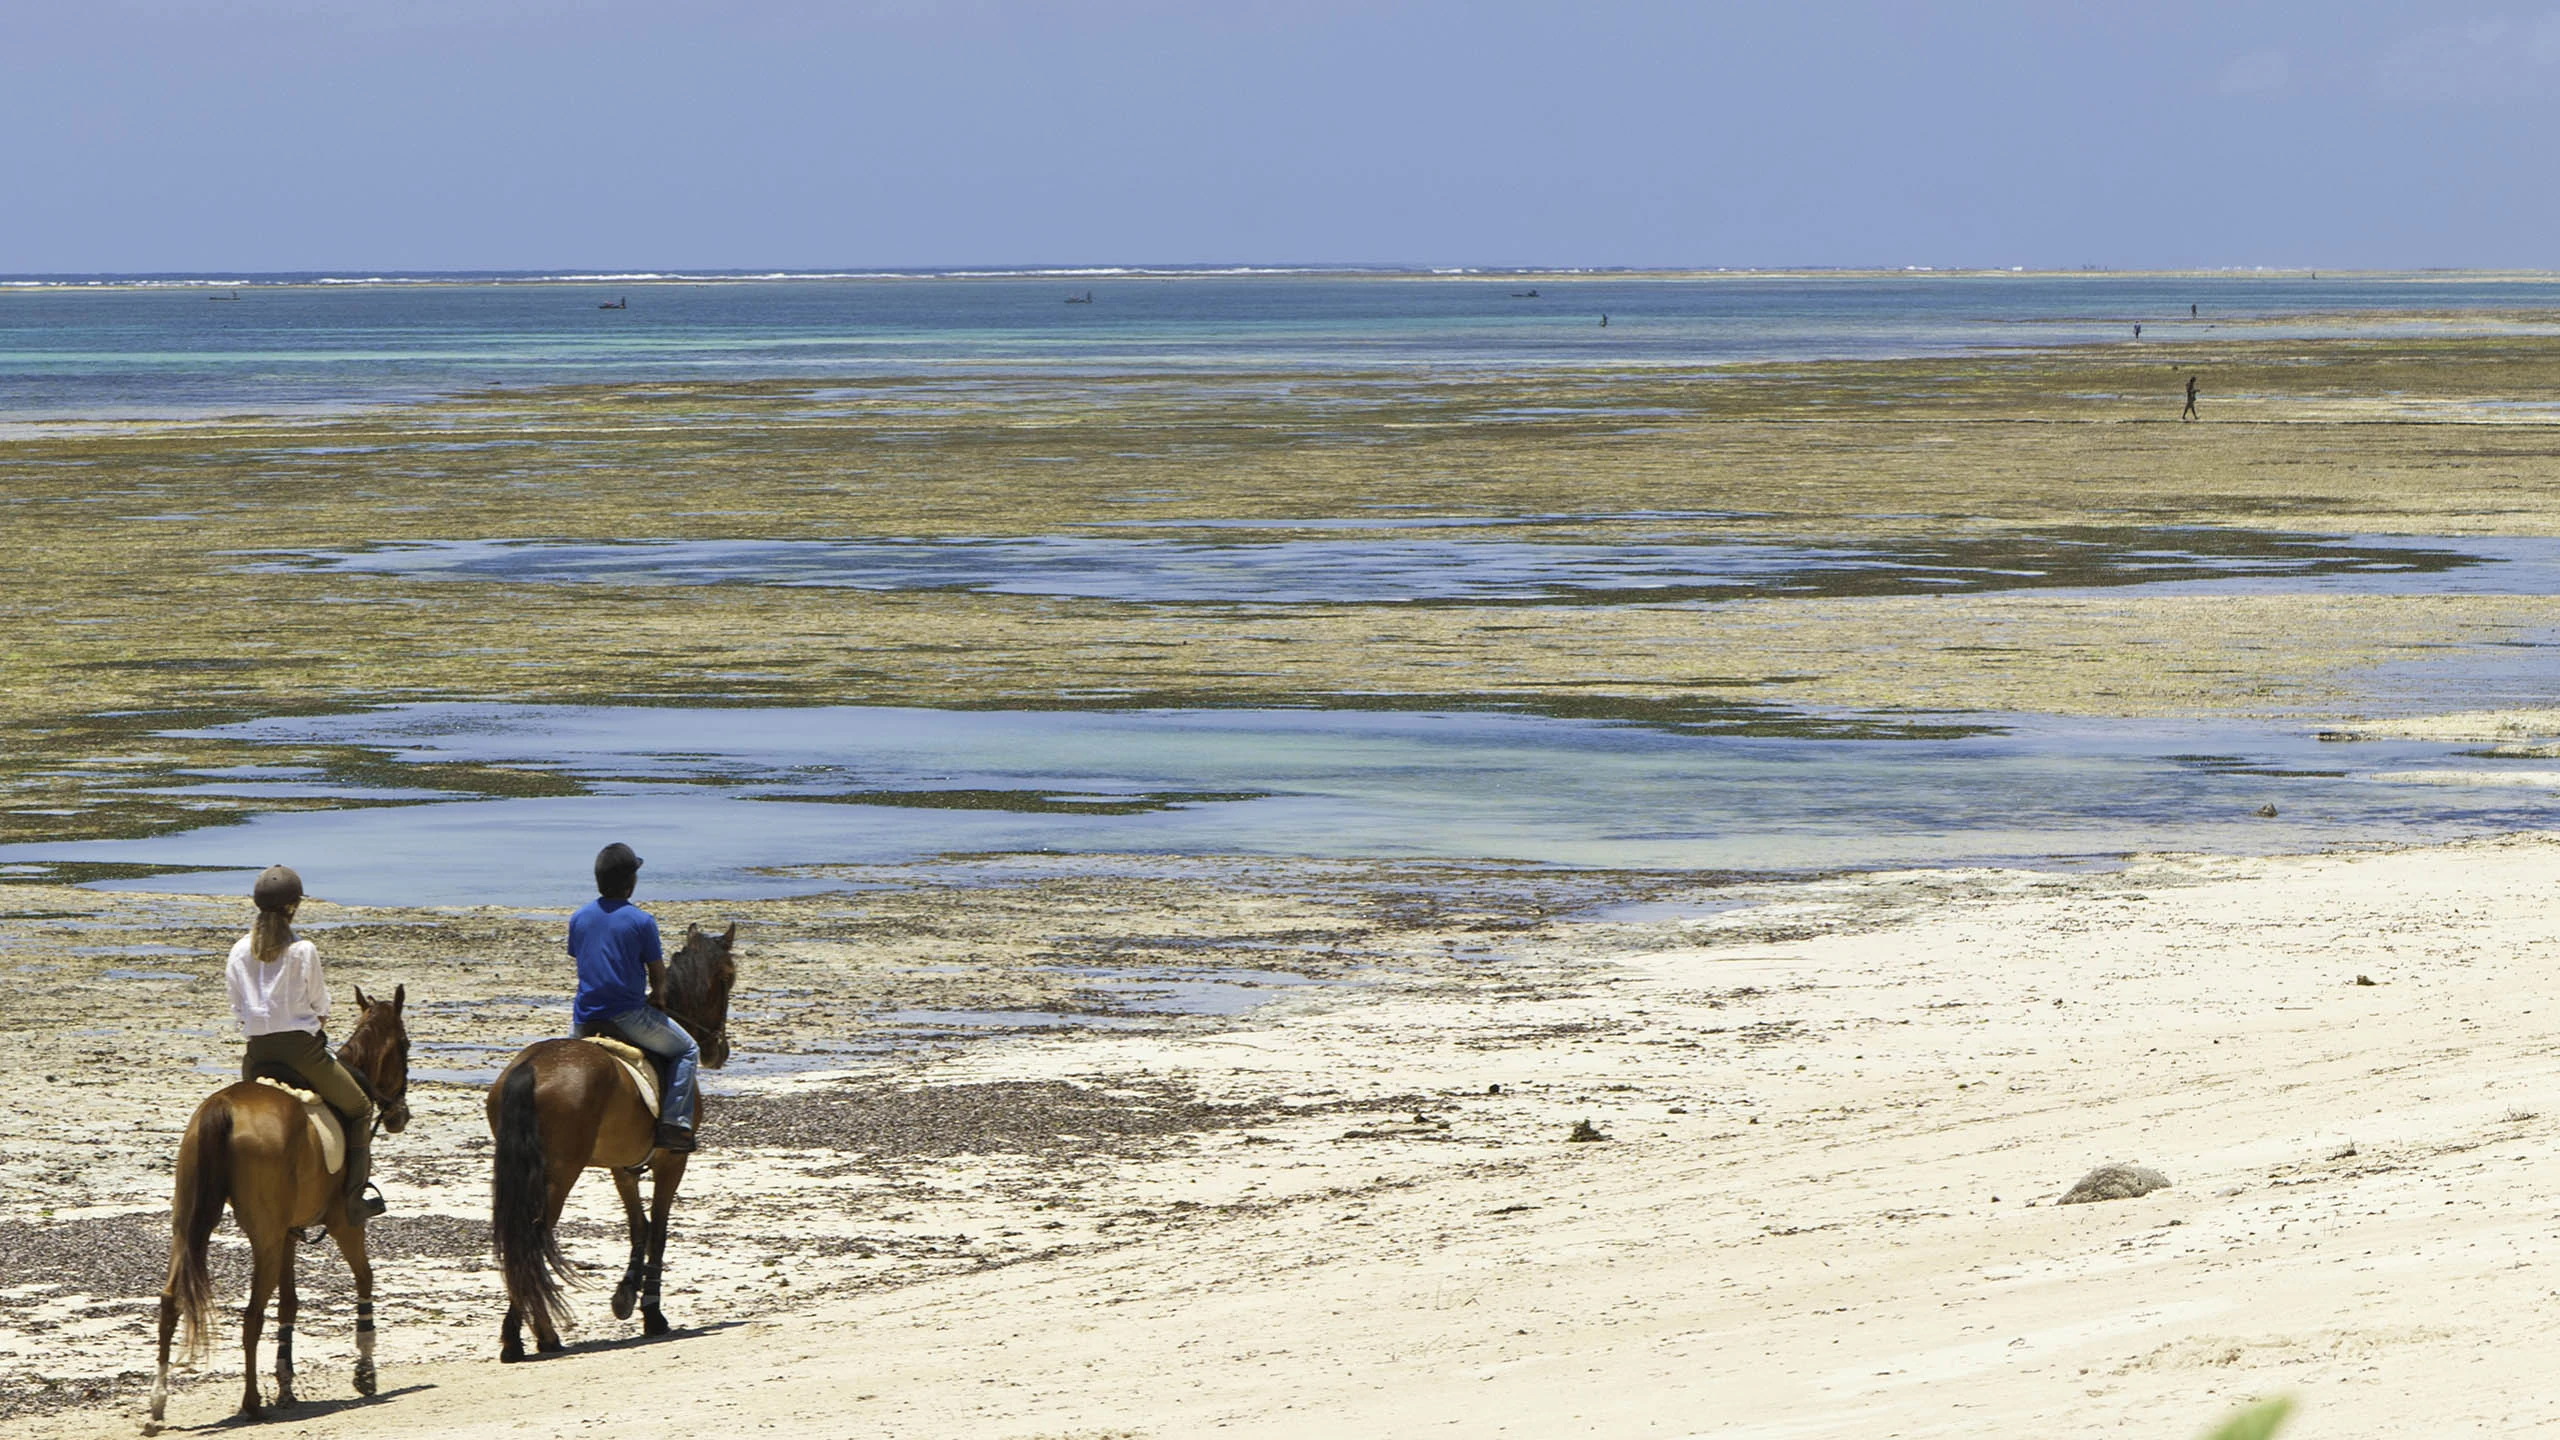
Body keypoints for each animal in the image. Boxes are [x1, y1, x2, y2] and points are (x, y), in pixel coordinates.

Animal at [150, 985, 414, 1423]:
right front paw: (365, 1371)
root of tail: (223, 1106)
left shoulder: (292, 1231)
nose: (399, 1117)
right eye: (406, 1045)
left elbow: (290, 1303)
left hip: (188, 1226)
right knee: (252, 1315)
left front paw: (286, 1382)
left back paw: (158, 1403)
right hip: (267, 1237)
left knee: (172, 1301)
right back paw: (251, 1402)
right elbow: (365, 1279)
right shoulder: (345, 1223)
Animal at [486, 922, 736, 1361]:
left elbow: (639, 1226)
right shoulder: (672, 1162)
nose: (716, 1051)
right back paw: (538, 1336)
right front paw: (652, 1314)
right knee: (532, 1239)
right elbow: (658, 1232)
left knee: (518, 1241)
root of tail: (530, 1068)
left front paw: (625, 1297)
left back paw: (522, 1336)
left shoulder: (623, 1166)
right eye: (729, 978)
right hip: (560, 1174)